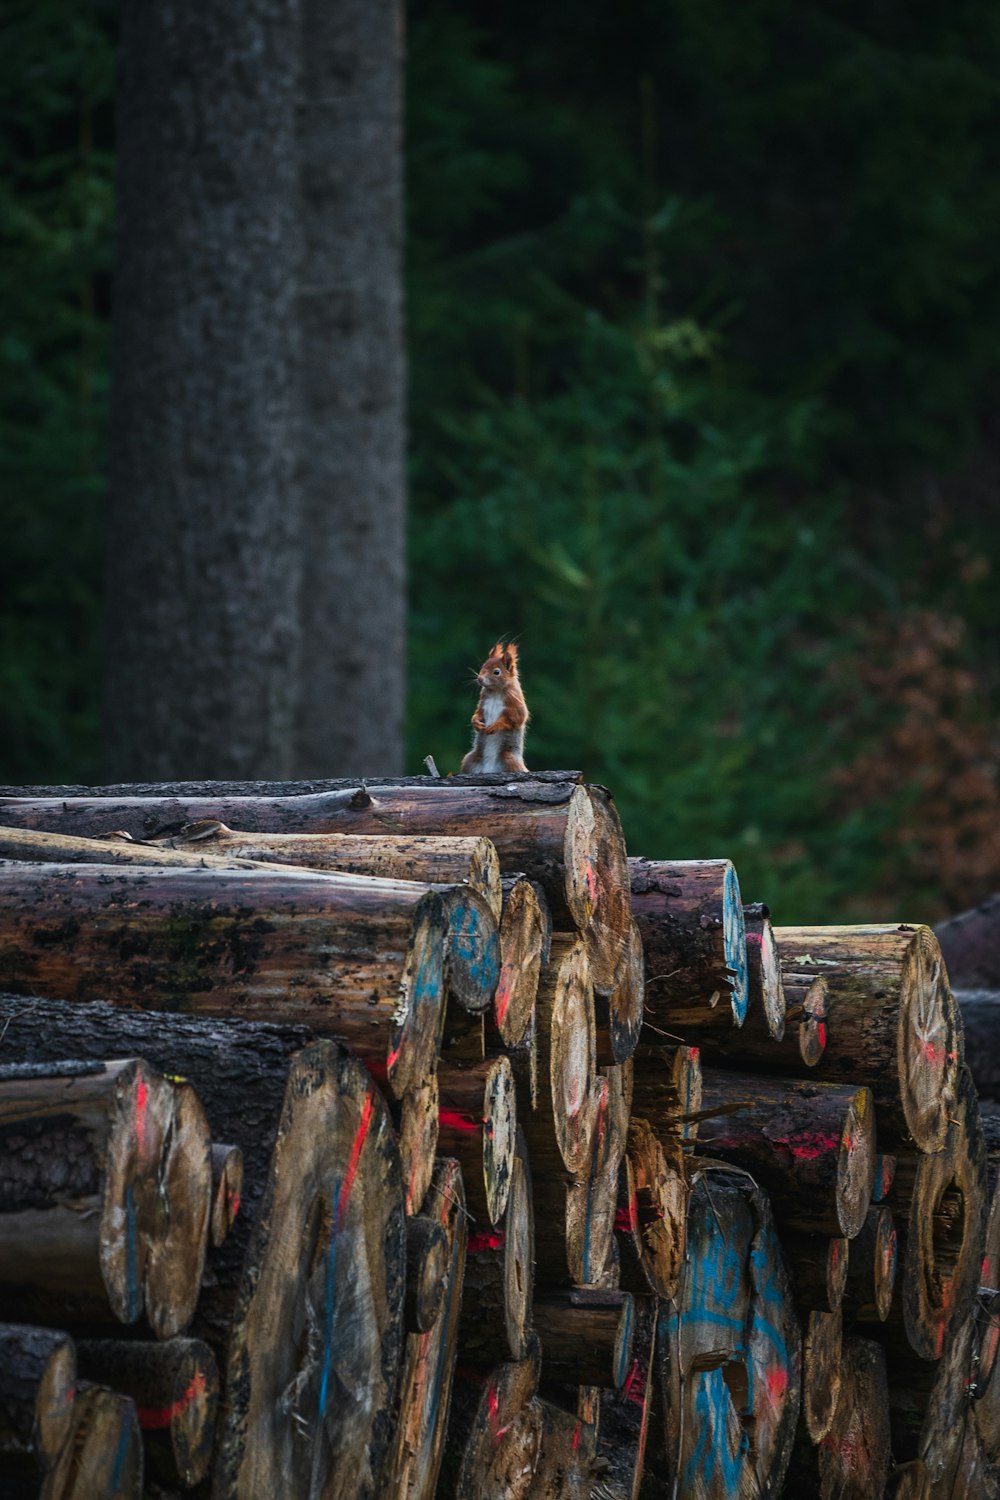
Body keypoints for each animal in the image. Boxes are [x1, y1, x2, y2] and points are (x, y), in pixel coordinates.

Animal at [458, 639, 527, 774]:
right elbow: (478, 713)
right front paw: (476, 723)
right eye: (482, 667)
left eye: (497, 672)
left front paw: (496, 726)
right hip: (469, 760)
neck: (496, 692)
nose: (480, 679)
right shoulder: (483, 703)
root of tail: (489, 769)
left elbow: (515, 718)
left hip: (510, 761)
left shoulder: (516, 704)